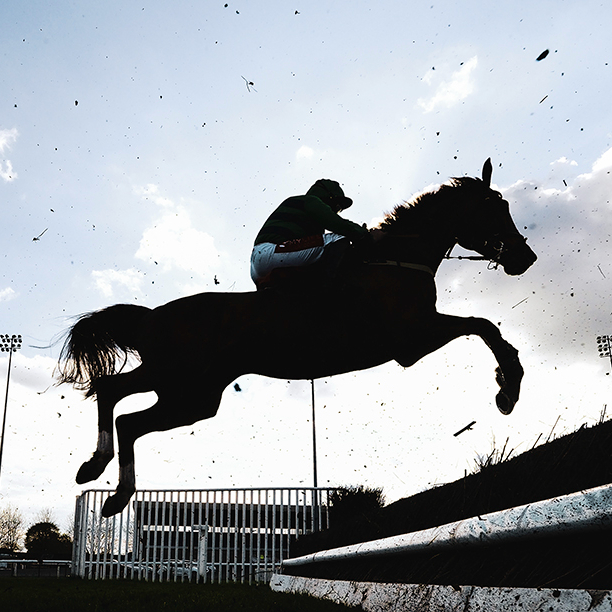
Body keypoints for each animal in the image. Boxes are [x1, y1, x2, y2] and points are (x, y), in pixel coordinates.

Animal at [57, 159, 536, 516]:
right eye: (494, 209)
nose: (525, 257)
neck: (395, 257)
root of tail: (153, 316)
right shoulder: (411, 339)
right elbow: (484, 326)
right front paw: (507, 389)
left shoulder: (417, 334)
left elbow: (484, 325)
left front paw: (506, 385)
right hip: (180, 380)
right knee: (117, 402)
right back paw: (107, 481)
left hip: (191, 393)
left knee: (120, 406)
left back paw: (100, 477)